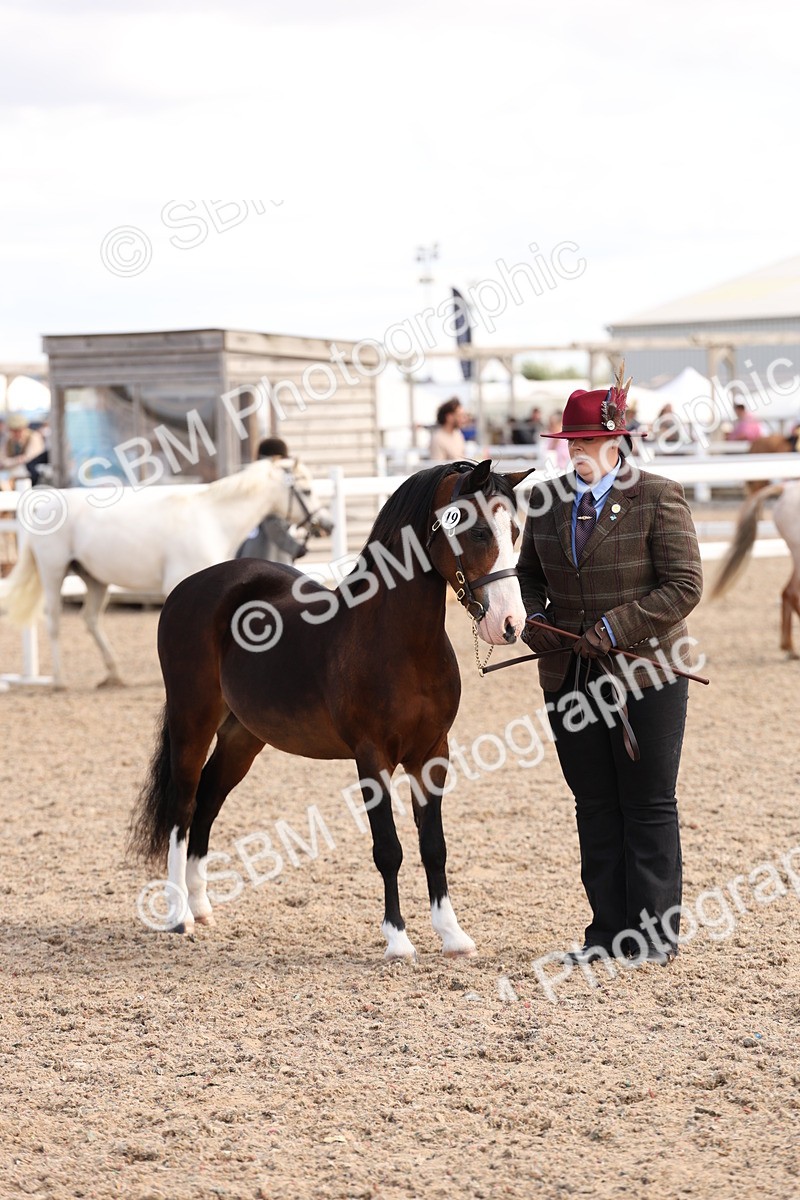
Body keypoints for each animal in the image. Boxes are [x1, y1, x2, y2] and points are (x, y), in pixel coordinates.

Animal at [0, 457, 332, 688]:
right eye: (306, 490)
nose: (327, 524)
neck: (213, 518)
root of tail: (43, 508)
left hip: (94, 580)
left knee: (90, 618)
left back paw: (114, 674)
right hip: (54, 571)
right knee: (54, 620)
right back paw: (59, 680)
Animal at [129, 459, 532, 960]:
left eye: (514, 530)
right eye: (477, 532)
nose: (510, 624)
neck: (401, 643)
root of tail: (188, 588)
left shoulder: (432, 754)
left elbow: (434, 846)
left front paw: (452, 934)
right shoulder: (372, 758)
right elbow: (389, 849)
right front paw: (397, 940)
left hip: (242, 739)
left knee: (207, 804)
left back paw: (201, 908)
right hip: (192, 722)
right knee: (182, 809)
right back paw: (178, 914)